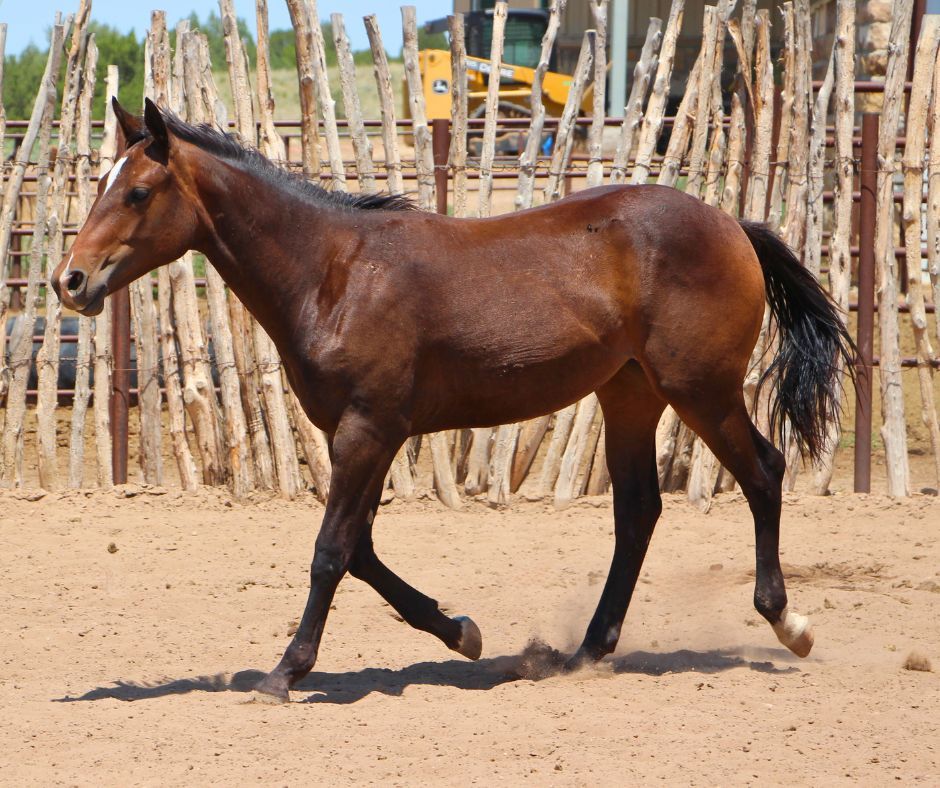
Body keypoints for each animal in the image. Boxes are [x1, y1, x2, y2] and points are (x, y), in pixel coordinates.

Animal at [52, 98, 855, 703]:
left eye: (137, 192)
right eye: (102, 183)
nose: (71, 280)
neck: (333, 273)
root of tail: (732, 225)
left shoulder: (368, 430)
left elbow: (331, 551)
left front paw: (284, 672)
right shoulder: (364, 434)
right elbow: (363, 552)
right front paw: (461, 631)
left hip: (701, 391)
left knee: (764, 473)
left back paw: (789, 624)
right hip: (629, 393)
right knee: (637, 513)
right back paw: (585, 653)